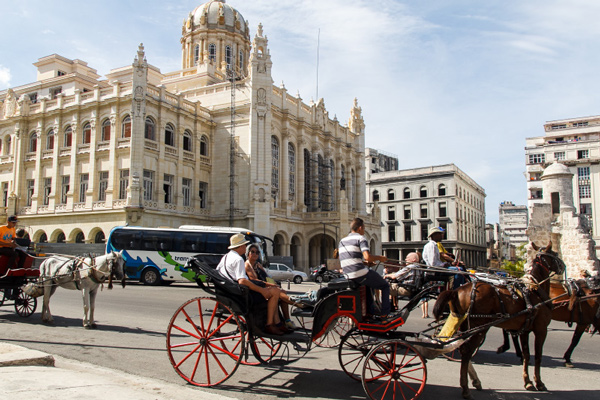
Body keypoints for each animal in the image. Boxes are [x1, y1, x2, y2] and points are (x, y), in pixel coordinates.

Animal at [432, 242, 564, 398]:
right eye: (555, 254)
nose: (563, 266)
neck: (534, 289)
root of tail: (457, 290)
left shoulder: (525, 329)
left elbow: (527, 355)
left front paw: (528, 382)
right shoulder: (541, 329)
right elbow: (538, 356)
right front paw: (539, 383)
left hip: (465, 325)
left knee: (461, 348)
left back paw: (473, 382)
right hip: (480, 326)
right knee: (467, 351)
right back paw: (466, 389)